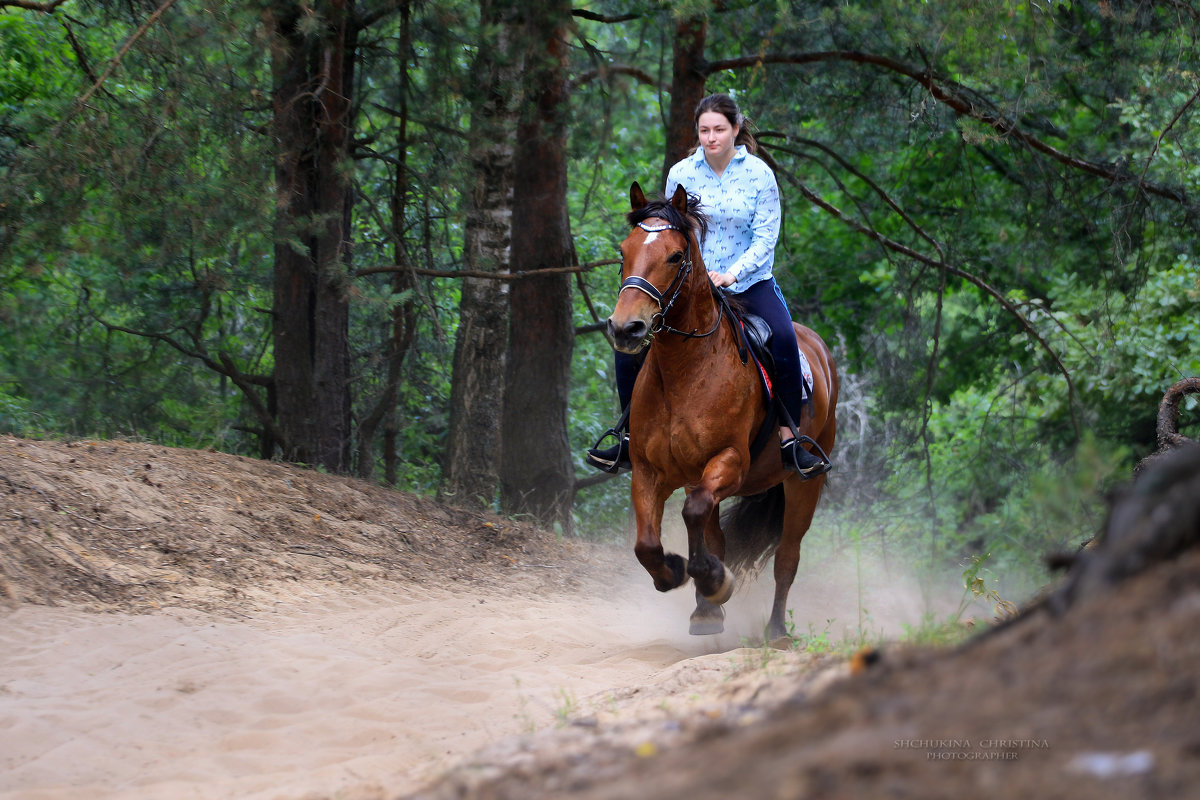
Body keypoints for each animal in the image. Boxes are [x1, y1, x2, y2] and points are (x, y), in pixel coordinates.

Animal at [604, 183, 840, 642]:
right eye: (624, 251)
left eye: (676, 255)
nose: (627, 328)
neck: (685, 372)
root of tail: (818, 349)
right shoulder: (649, 471)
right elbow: (648, 544)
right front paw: (677, 574)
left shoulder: (729, 461)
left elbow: (694, 513)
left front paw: (714, 581)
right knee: (713, 532)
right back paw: (705, 610)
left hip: (803, 485)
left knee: (786, 558)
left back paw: (775, 631)